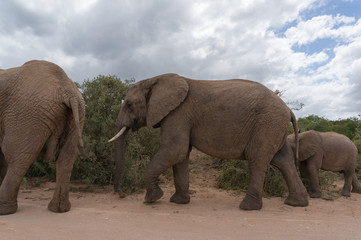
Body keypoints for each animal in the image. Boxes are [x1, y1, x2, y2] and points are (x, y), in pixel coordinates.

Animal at [0, 60, 84, 216]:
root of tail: (67, 88)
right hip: (78, 113)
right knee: (67, 157)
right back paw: (59, 209)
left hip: (27, 112)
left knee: (16, 157)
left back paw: (4, 210)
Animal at [109, 73, 306, 210]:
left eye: (128, 104)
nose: (121, 194)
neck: (154, 79)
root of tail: (289, 110)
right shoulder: (179, 115)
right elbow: (181, 155)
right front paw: (179, 202)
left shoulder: (178, 113)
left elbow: (175, 150)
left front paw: (151, 199)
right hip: (274, 125)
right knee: (283, 160)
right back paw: (296, 203)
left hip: (267, 123)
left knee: (257, 159)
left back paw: (248, 208)